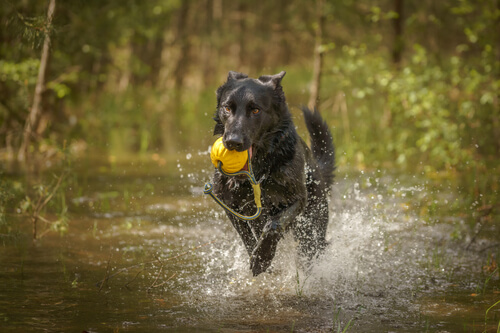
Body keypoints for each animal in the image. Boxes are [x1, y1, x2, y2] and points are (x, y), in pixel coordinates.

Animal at [211, 70, 336, 274]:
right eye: (227, 108)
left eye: (255, 110)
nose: (232, 142)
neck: (258, 171)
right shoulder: (230, 205)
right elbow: (247, 236)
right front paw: (259, 257)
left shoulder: (297, 199)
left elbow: (273, 225)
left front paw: (262, 258)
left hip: (312, 228)